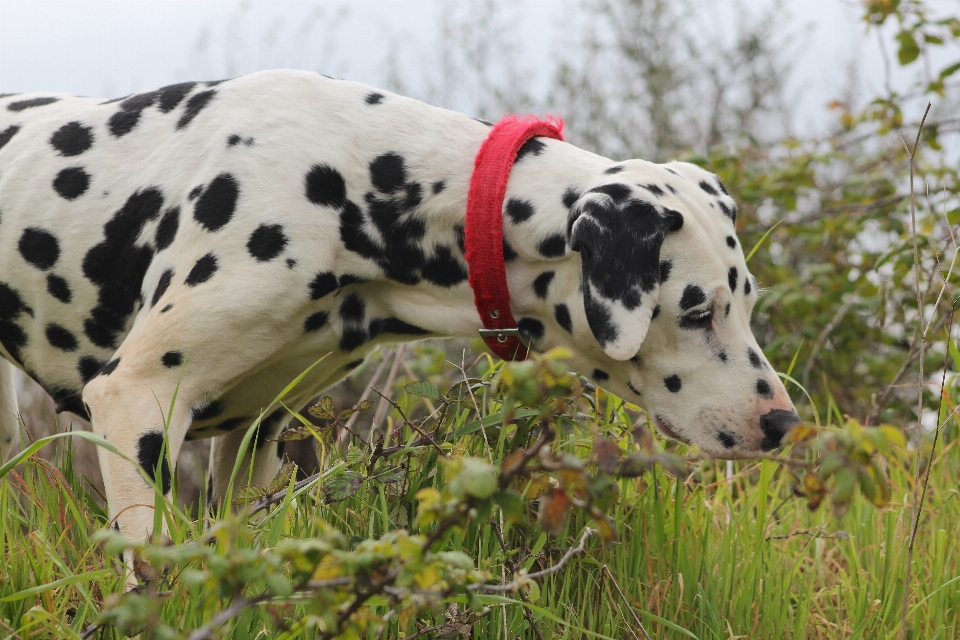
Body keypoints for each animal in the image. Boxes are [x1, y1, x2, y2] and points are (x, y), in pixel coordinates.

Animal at [0, 70, 800, 580]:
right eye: (696, 311)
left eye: (746, 301)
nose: (784, 424)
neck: (350, 180)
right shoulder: (136, 400)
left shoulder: (256, 434)